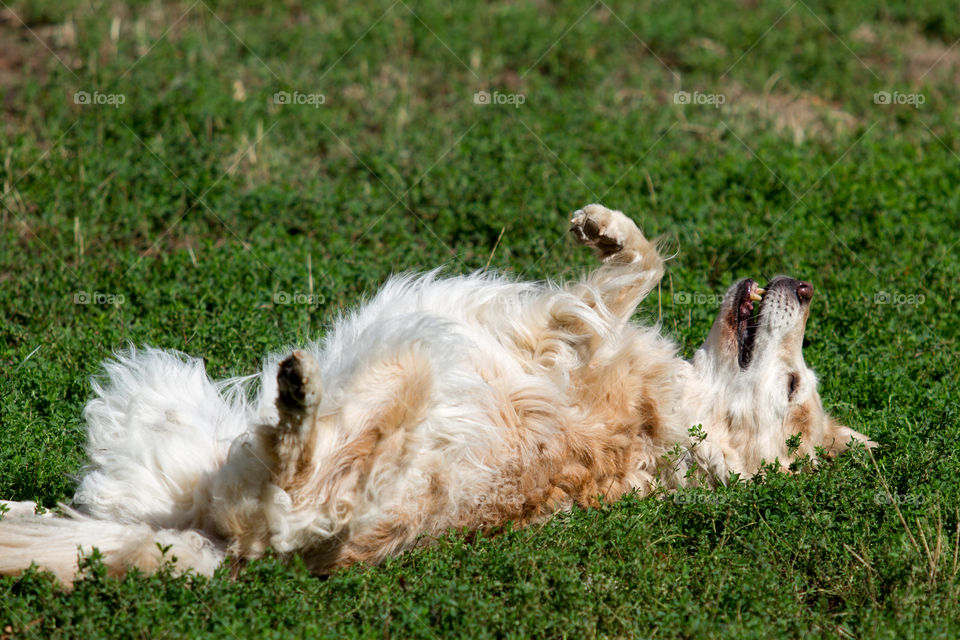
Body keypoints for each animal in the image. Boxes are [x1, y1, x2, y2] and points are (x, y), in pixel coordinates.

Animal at [0, 205, 872, 584]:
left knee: (292, 467)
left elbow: (634, 273)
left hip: (391, 388)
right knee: (86, 515)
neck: (684, 438)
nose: (804, 286)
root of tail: (229, 548)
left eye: (793, 383)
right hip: (161, 417)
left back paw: (298, 396)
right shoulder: (581, 326)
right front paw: (607, 225)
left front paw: (613, 238)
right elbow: (638, 264)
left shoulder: (567, 329)